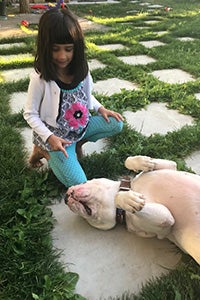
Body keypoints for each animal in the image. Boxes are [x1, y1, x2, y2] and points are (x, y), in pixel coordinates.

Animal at [65, 156, 200, 264]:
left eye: (84, 181)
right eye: (86, 215)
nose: (66, 198)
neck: (131, 188)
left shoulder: (171, 166)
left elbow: (128, 160)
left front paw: (143, 162)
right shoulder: (164, 220)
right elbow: (120, 198)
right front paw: (128, 199)